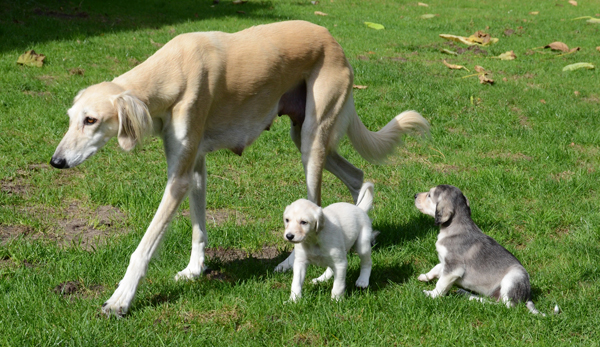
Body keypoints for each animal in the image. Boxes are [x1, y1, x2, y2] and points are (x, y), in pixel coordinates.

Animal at [49, 20, 428, 316]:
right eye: (70, 118)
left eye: (91, 120)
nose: (56, 162)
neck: (172, 70)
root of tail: (331, 38)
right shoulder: (194, 167)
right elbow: (198, 228)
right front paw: (194, 270)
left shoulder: (178, 178)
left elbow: (144, 247)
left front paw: (120, 300)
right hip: (306, 135)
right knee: (358, 177)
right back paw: (365, 230)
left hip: (312, 141)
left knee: (316, 203)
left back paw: (293, 261)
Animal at [418, 185, 544, 316]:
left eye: (429, 195)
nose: (415, 195)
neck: (454, 228)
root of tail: (528, 296)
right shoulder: (445, 263)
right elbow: (436, 268)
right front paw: (425, 276)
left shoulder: (454, 268)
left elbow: (441, 284)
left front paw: (431, 294)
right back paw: (465, 294)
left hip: (513, 277)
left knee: (503, 306)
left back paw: (472, 298)